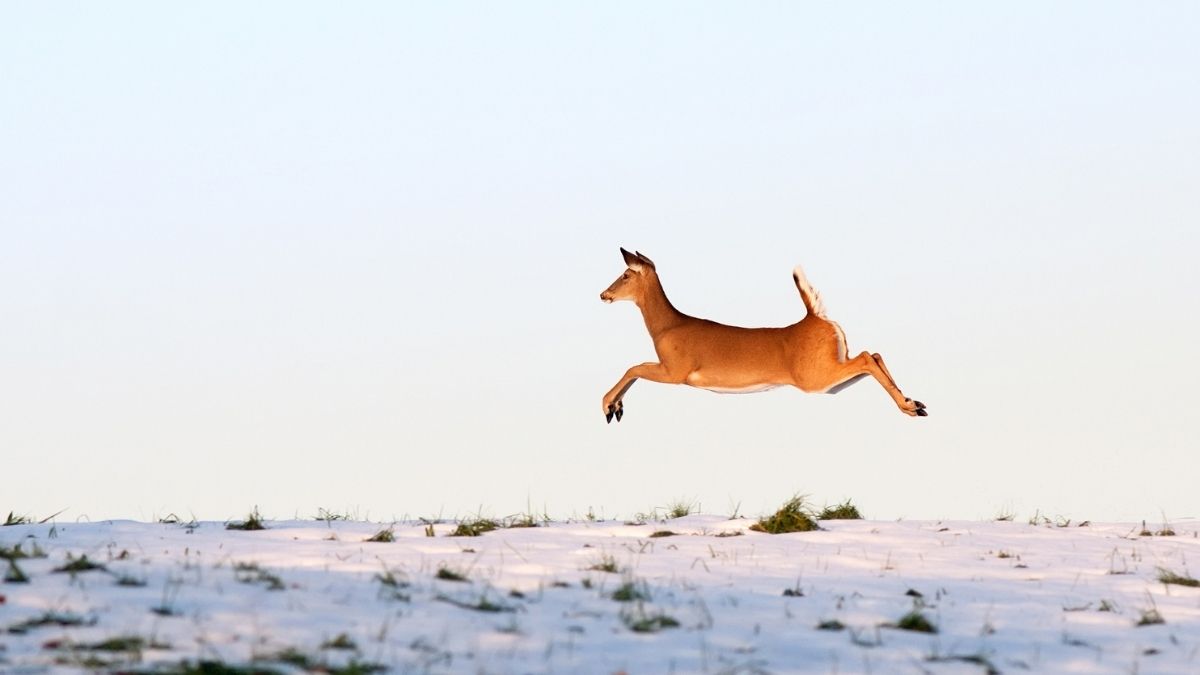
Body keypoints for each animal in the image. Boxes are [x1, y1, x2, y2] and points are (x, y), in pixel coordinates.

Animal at [599, 248, 926, 423]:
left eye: (625, 275)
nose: (604, 294)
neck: (666, 327)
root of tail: (814, 318)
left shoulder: (676, 370)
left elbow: (634, 367)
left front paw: (608, 407)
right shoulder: (670, 369)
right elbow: (635, 367)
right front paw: (616, 408)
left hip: (814, 377)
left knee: (867, 357)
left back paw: (911, 406)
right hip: (830, 375)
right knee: (873, 354)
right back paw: (914, 403)